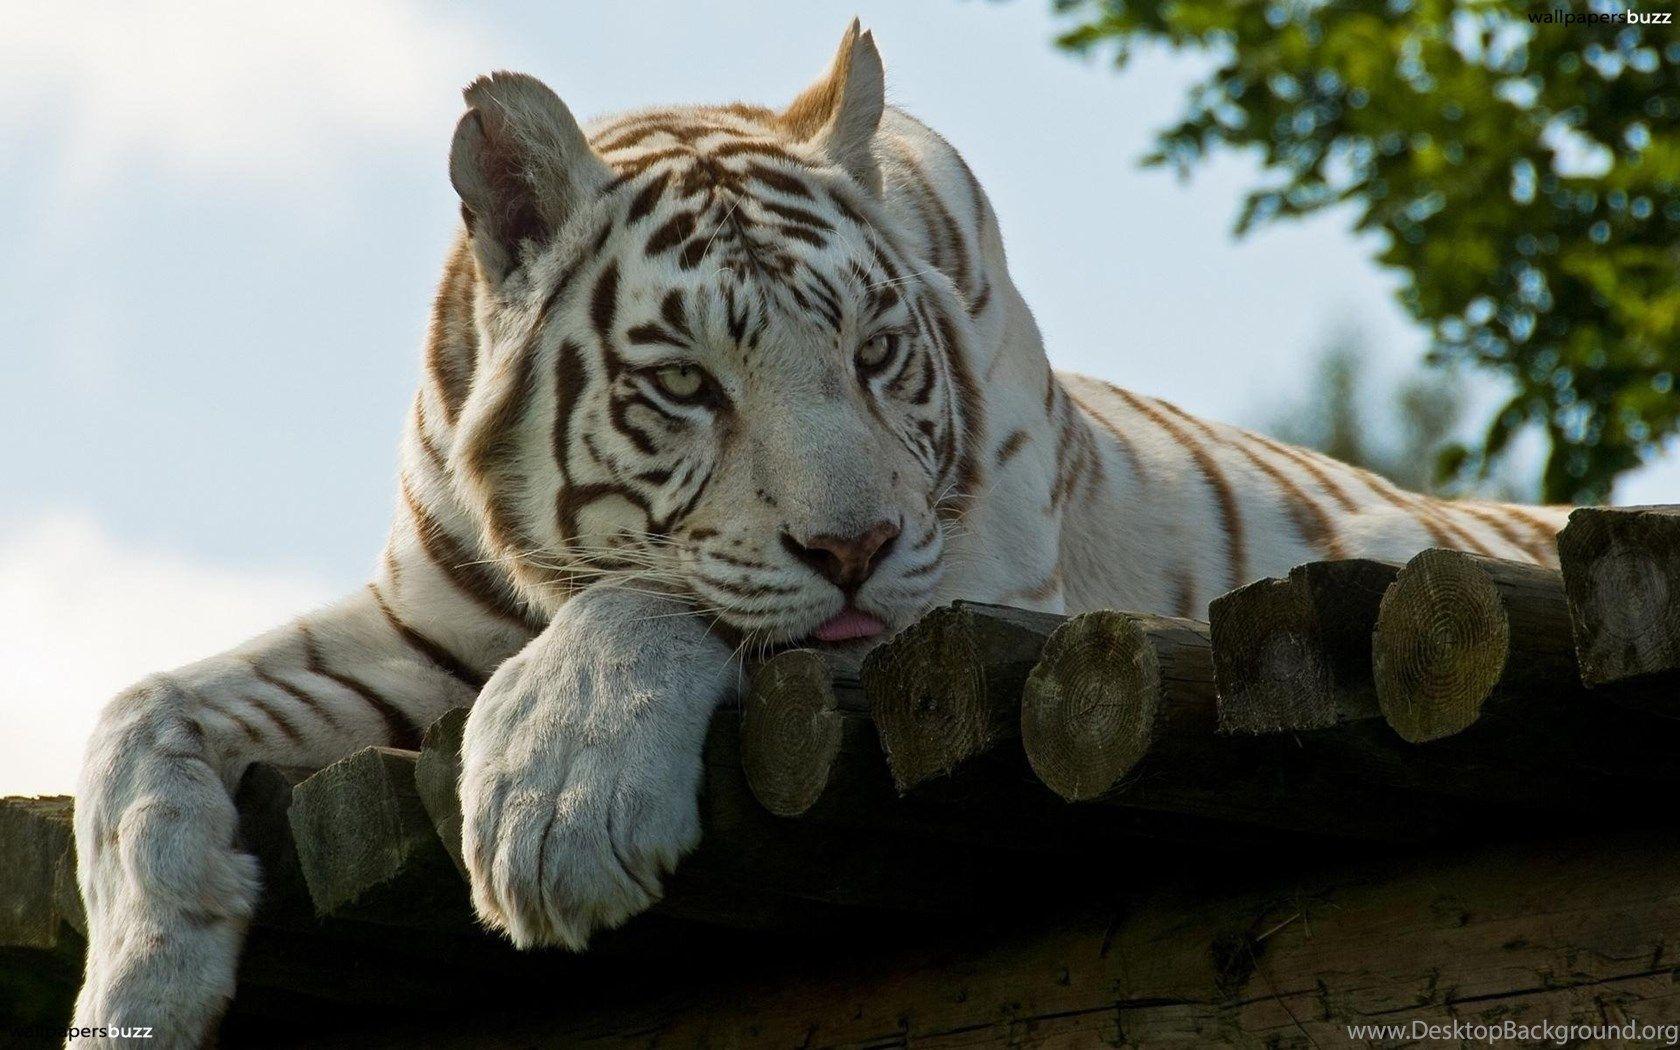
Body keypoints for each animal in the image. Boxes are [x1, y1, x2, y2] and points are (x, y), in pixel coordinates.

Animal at [70, 22, 1570, 1047]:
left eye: (874, 351)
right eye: (688, 384)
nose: (853, 545)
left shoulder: (971, 584)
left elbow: (668, 599)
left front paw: (555, 805)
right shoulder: (418, 626)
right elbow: (138, 709)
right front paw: (138, 982)